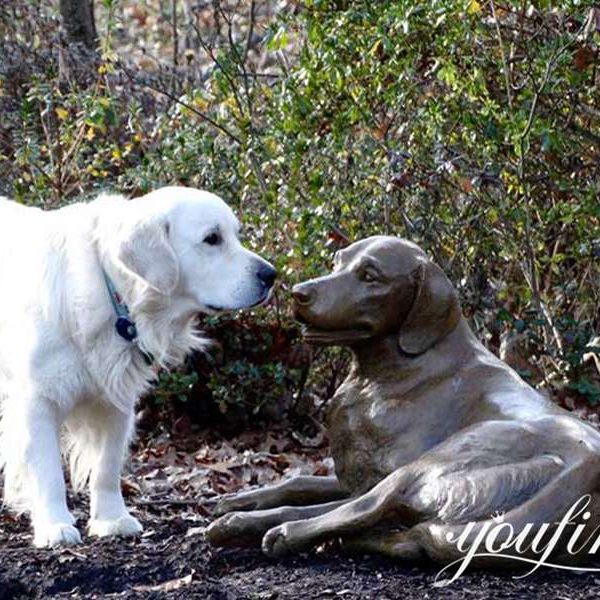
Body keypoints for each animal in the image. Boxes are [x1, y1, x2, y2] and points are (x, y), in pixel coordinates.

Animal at [0, 188, 276, 548]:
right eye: (212, 238)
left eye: (236, 234)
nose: (271, 275)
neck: (113, 291)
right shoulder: (37, 401)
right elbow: (49, 472)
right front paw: (55, 525)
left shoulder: (116, 400)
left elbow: (107, 467)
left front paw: (112, 519)